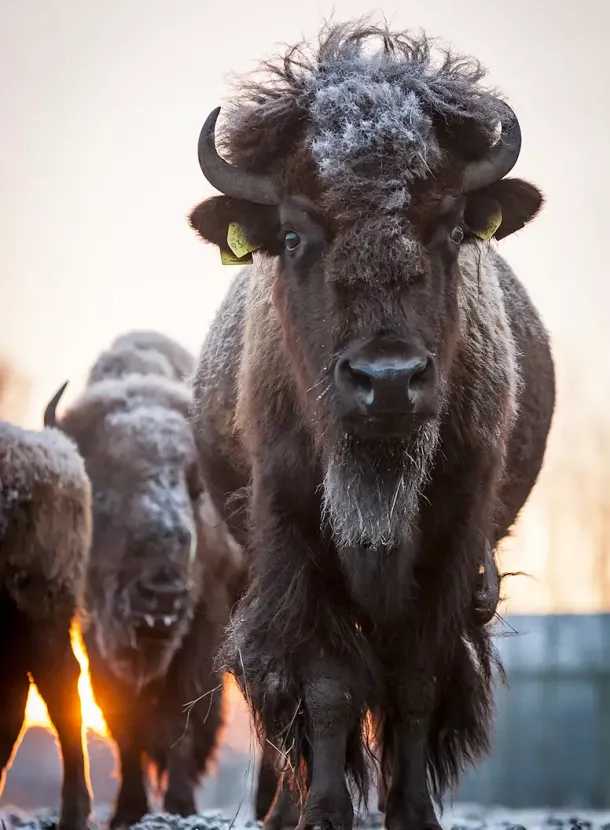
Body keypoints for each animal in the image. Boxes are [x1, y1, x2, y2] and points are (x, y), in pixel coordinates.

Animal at [44, 331, 244, 826]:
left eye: (195, 489)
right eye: (99, 491)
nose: (162, 594)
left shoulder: (202, 630)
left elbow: (184, 718)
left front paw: (179, 804)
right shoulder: (96, 634)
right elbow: (121, 718)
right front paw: (128, 809)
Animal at [188, 22, 555, 830]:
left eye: (453, 227)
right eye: (294, 235)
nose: (387, 379)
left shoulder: (451, 545)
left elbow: (414, 682)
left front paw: (412, 811)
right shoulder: (296, 541)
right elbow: (326, 686)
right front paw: (325, 812)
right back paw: (280, 810)